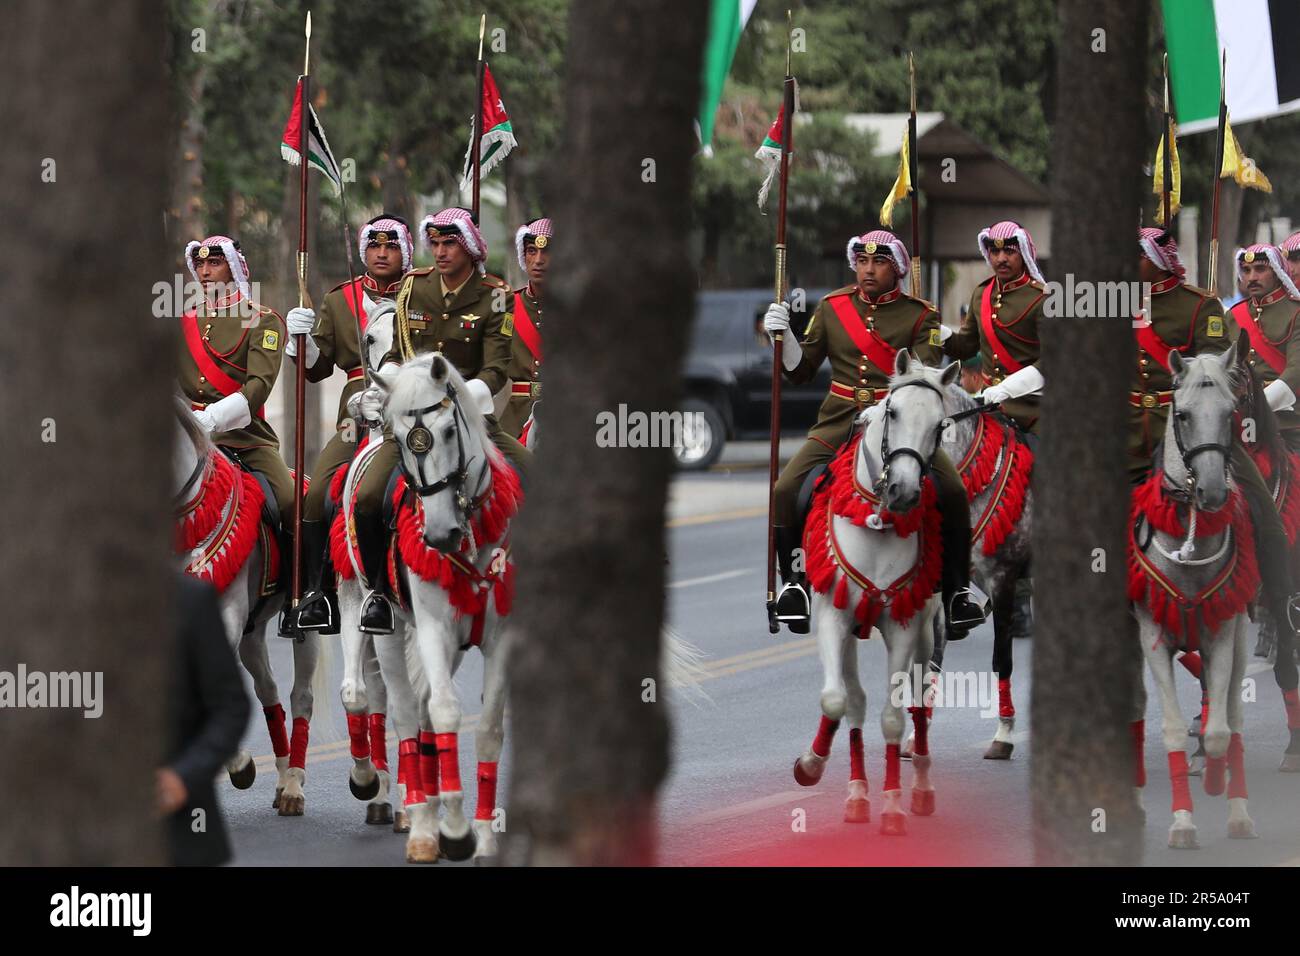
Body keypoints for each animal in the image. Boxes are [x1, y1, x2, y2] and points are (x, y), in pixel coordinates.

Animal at [171, 395, 321, 816]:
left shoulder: (224, 615)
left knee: (300, 696)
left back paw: (294, 786)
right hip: (253, 636)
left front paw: (235, 761)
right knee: (268, 690)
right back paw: (283, 776)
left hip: (307, 629)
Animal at [785, 353, 951, 837]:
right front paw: (811, 765)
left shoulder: (902, 624)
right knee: (856, 701)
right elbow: (838, 700)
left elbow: (894, 716)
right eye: (892, 412)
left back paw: (921, 788)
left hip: (926, 632)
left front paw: (893, 806)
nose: (904, 491)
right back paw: (857, 795)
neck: (876, 522)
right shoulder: (833, 618)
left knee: (918, 702)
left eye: (940, 425)